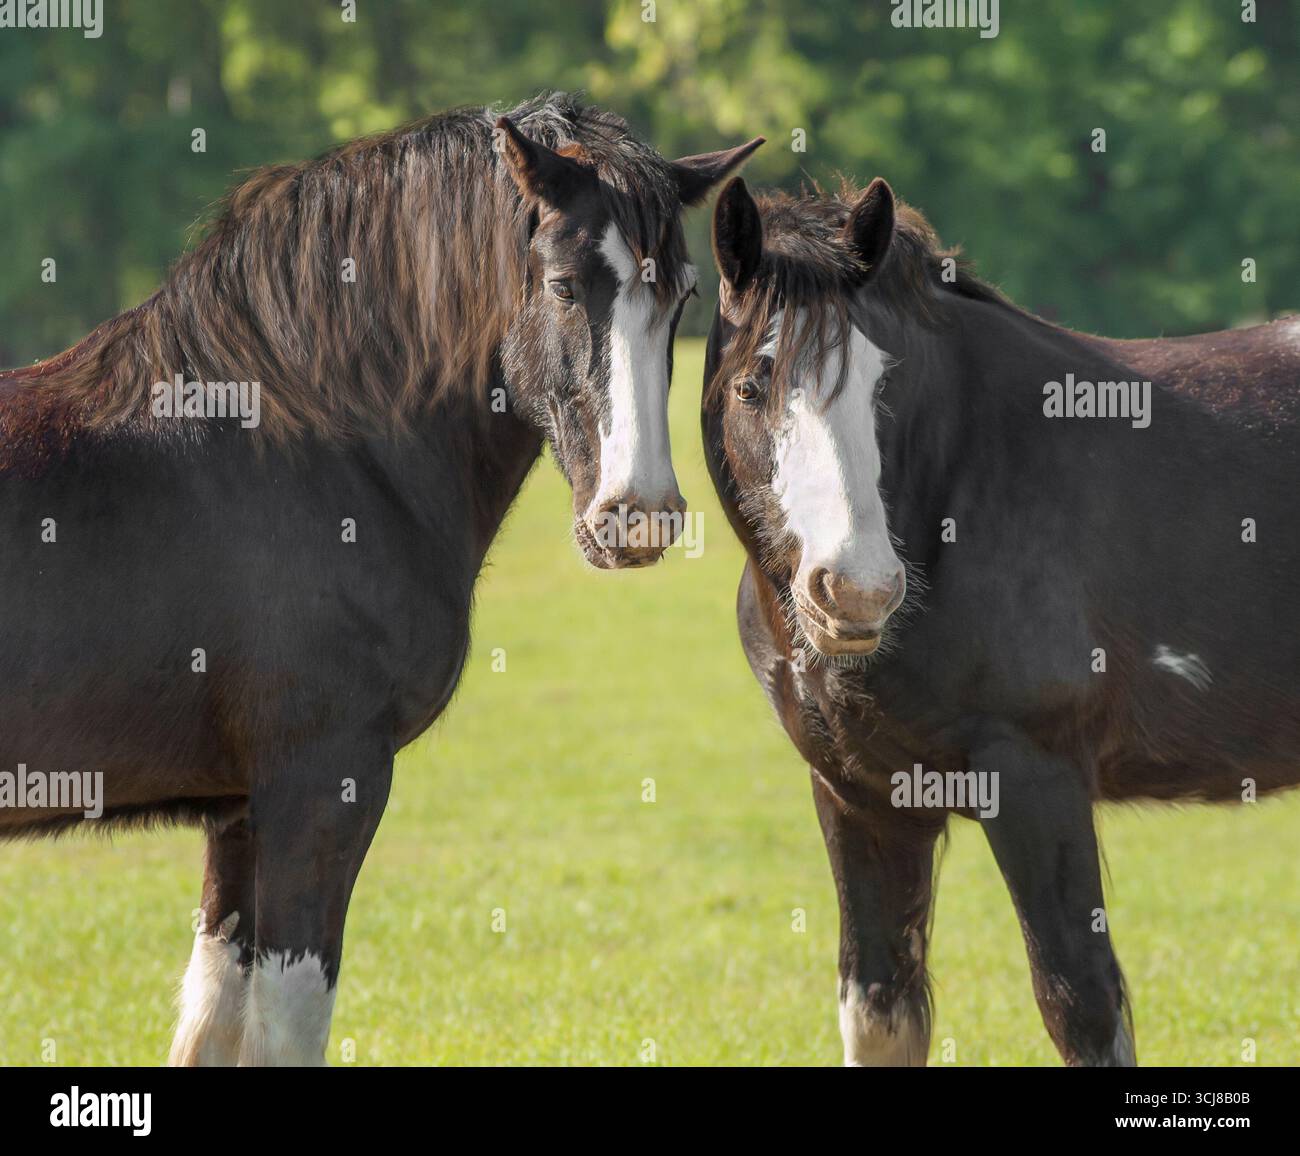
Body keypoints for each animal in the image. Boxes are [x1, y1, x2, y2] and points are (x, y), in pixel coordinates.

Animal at [0, 93, 760, 1065]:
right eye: (561, 287)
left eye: (686, 296)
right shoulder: (322, 788)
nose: (639, 514)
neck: (300, 447)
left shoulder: (239, 812)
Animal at [701, 175, 1300, 1065]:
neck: (961, 480)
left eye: (885, 385)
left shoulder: (1032, 780)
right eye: (752, 384)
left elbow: (1081, 1004)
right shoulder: (861, 797)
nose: (859, 590)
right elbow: (881, 1011)